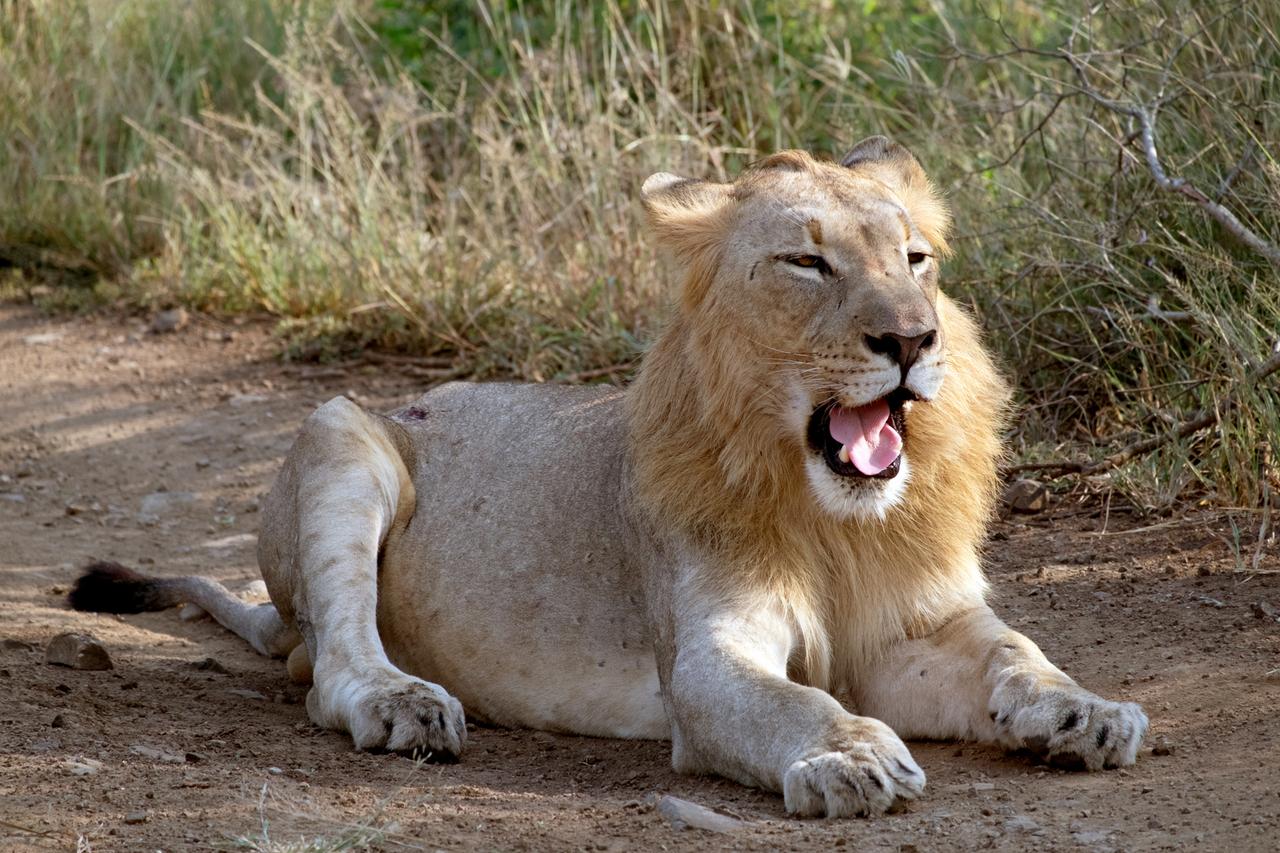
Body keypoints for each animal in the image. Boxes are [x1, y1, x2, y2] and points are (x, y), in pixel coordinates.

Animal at [70, 138, 1147, 818]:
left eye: (915, 259)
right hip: (340, 428)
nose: (914, 341)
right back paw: (402, 702)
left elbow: (1017, 654)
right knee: (331, 664)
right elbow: (790, 704)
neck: (831, 516)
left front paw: (1086, 712)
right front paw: (850, 755)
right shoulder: (707, 658)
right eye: (805, 262)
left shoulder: (909, 629)